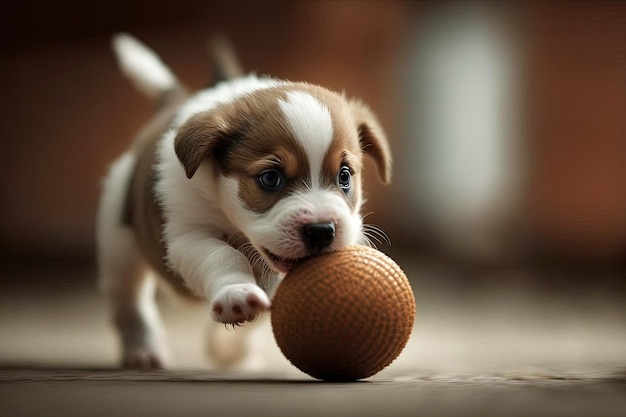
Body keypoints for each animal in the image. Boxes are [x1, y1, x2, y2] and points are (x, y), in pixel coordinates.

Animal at [96, 35, 390, 368]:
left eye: (344, 176)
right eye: (270, 178)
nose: (321, 231)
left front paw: (229, 344)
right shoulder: (189, 235)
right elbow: (223, 255)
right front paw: (235, 293)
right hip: (119, 243)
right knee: (129, 303)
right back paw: (142, 349)